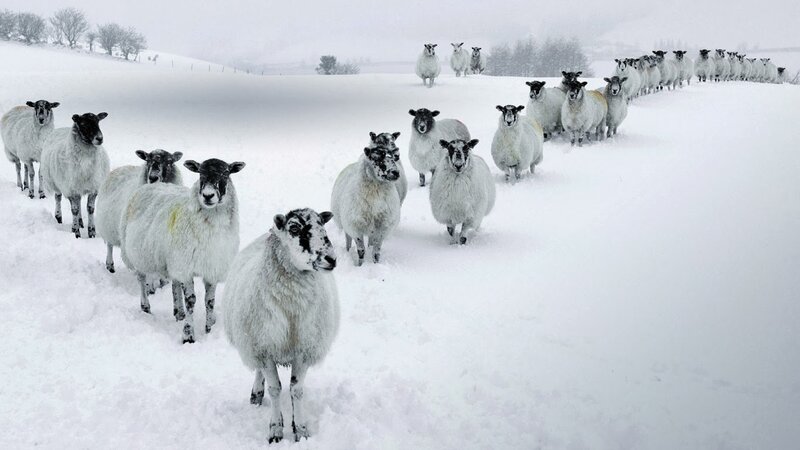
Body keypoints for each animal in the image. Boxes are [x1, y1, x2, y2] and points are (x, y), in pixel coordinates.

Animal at [119, 158, 245, 343]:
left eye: (226, 174)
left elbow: (209, 301)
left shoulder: (211, 267)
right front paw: (188, 334)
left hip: (173, 259)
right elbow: (191, 301)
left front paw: (209, 328)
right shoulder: (187, 268)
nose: (208, 196)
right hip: (137, 254)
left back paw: (178, 312)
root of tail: (150, 185)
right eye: (200, 174)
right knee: (141, 279)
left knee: (174, 283)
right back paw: (146, 306)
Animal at [223, 208, 338, 443]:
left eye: (322, 225)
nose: (331, 258)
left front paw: (300, 429)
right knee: (259, 372)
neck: (292, 307)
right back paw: (256, 394)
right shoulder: (265, 348)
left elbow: (296, 391)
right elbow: (275, 389)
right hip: (254, 341)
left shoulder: (303, 350)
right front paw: (276, 429)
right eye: (294, 228)